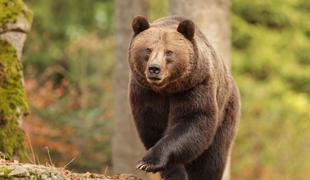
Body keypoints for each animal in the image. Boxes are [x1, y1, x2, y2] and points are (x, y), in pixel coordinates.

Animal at [127, 15, 241, 180]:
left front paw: (148, 161)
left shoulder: (194, 87)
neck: (167, 89)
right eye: (148, 49)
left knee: (212, 158)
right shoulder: (146, 92)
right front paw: (172, 172)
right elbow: (153, 127)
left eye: (169, 52)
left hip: (226, 111)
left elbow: (193, 121)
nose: (154, 68)